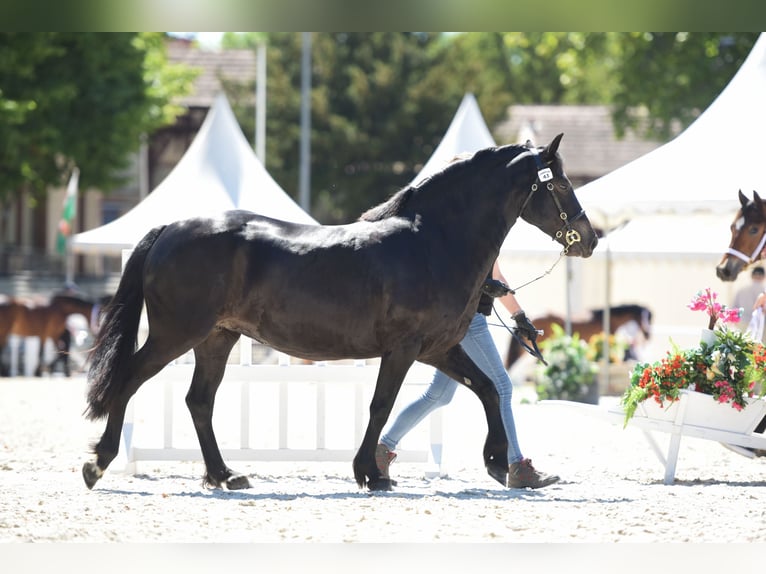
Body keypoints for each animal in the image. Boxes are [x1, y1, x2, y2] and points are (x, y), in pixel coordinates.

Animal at [81, 134, 599, 492]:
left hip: (216, 338)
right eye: (562, 183)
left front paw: (495, 462)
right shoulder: (405, 348)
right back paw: (98, 463)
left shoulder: (438, 349)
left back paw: (226, 475)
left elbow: (489, 389)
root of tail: (169, 228)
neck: (432, 241)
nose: (591, 239)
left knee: (199, 401)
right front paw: (371, 473)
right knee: (129, 379)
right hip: (177, 334)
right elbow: (382, 405)